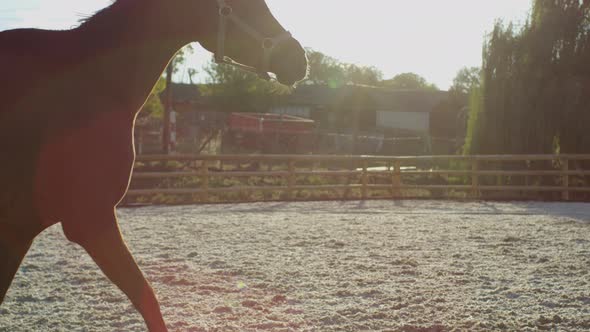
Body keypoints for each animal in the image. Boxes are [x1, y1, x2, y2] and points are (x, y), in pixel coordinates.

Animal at [1, 0, 310, 330]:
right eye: (243, 4)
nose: (299, 59)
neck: (96, 84)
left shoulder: (19, 230)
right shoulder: (90, 220)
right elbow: (147, 297)